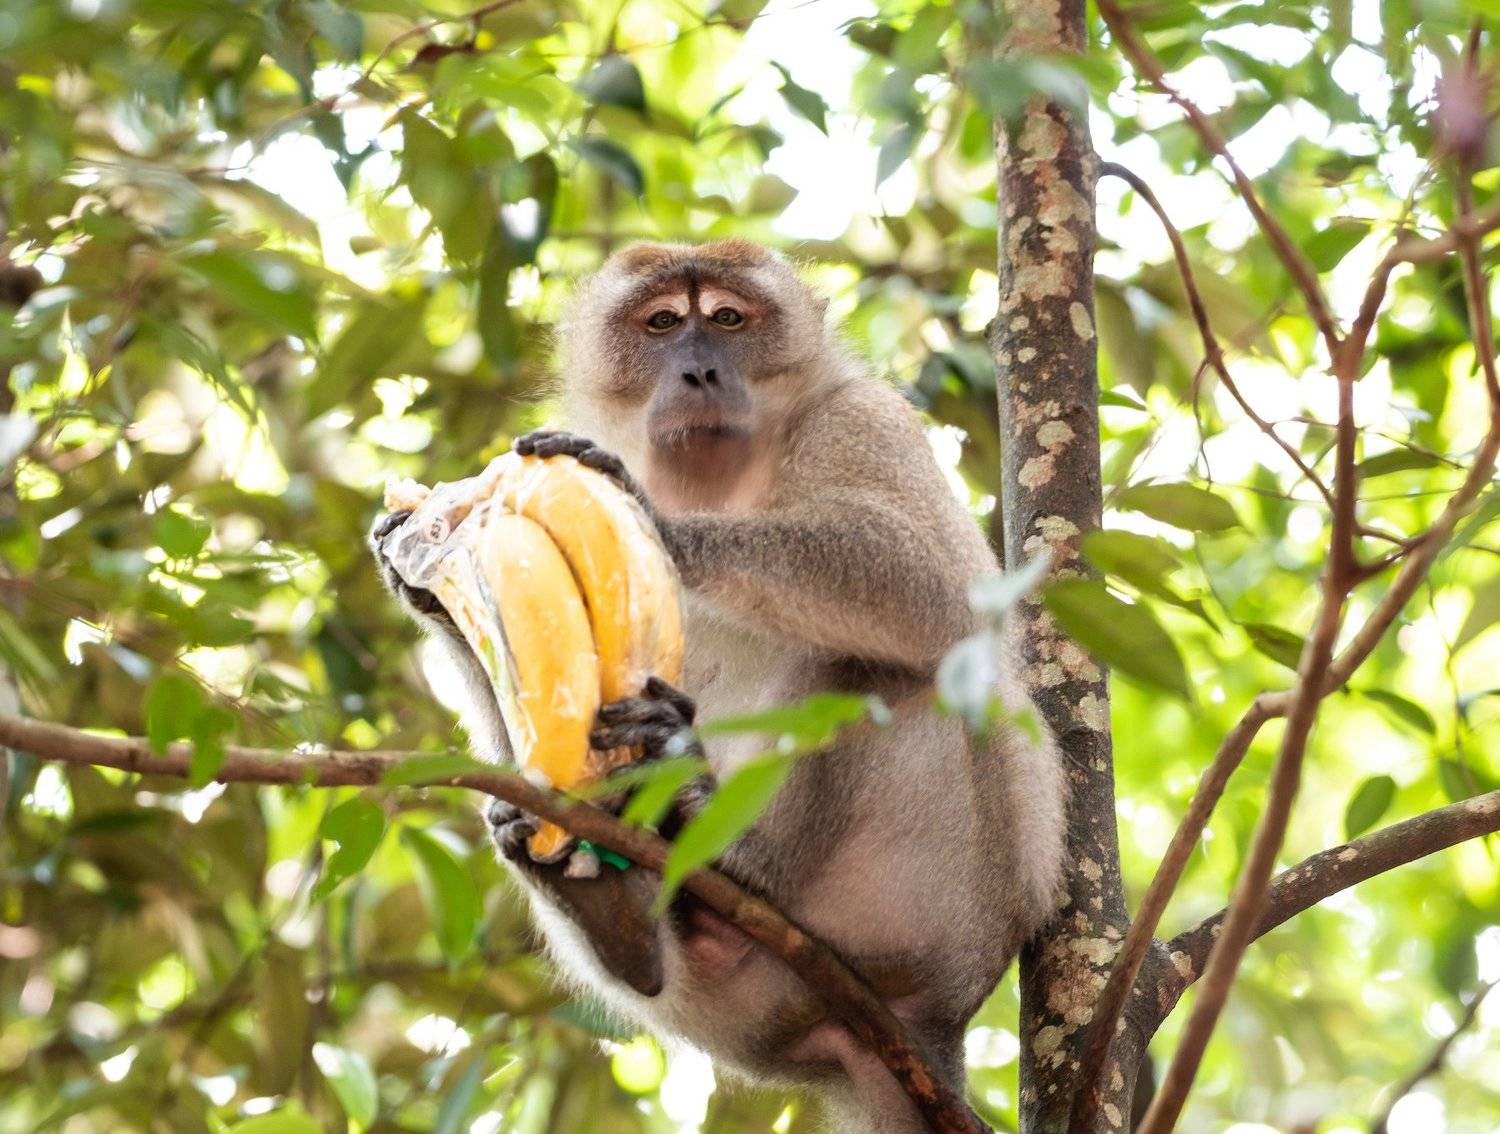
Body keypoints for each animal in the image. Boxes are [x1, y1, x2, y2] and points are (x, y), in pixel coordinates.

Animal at [370, 240, 1066, 1133]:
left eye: (729, 319)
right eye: (665, 322)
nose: (700, 369)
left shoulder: (866, 420)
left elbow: (934, 592)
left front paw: (645, 512)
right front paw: (414, 572)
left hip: (942, 906)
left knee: (891, 661)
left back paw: (734, 853)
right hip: (723, 1010)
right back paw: (616, 915)